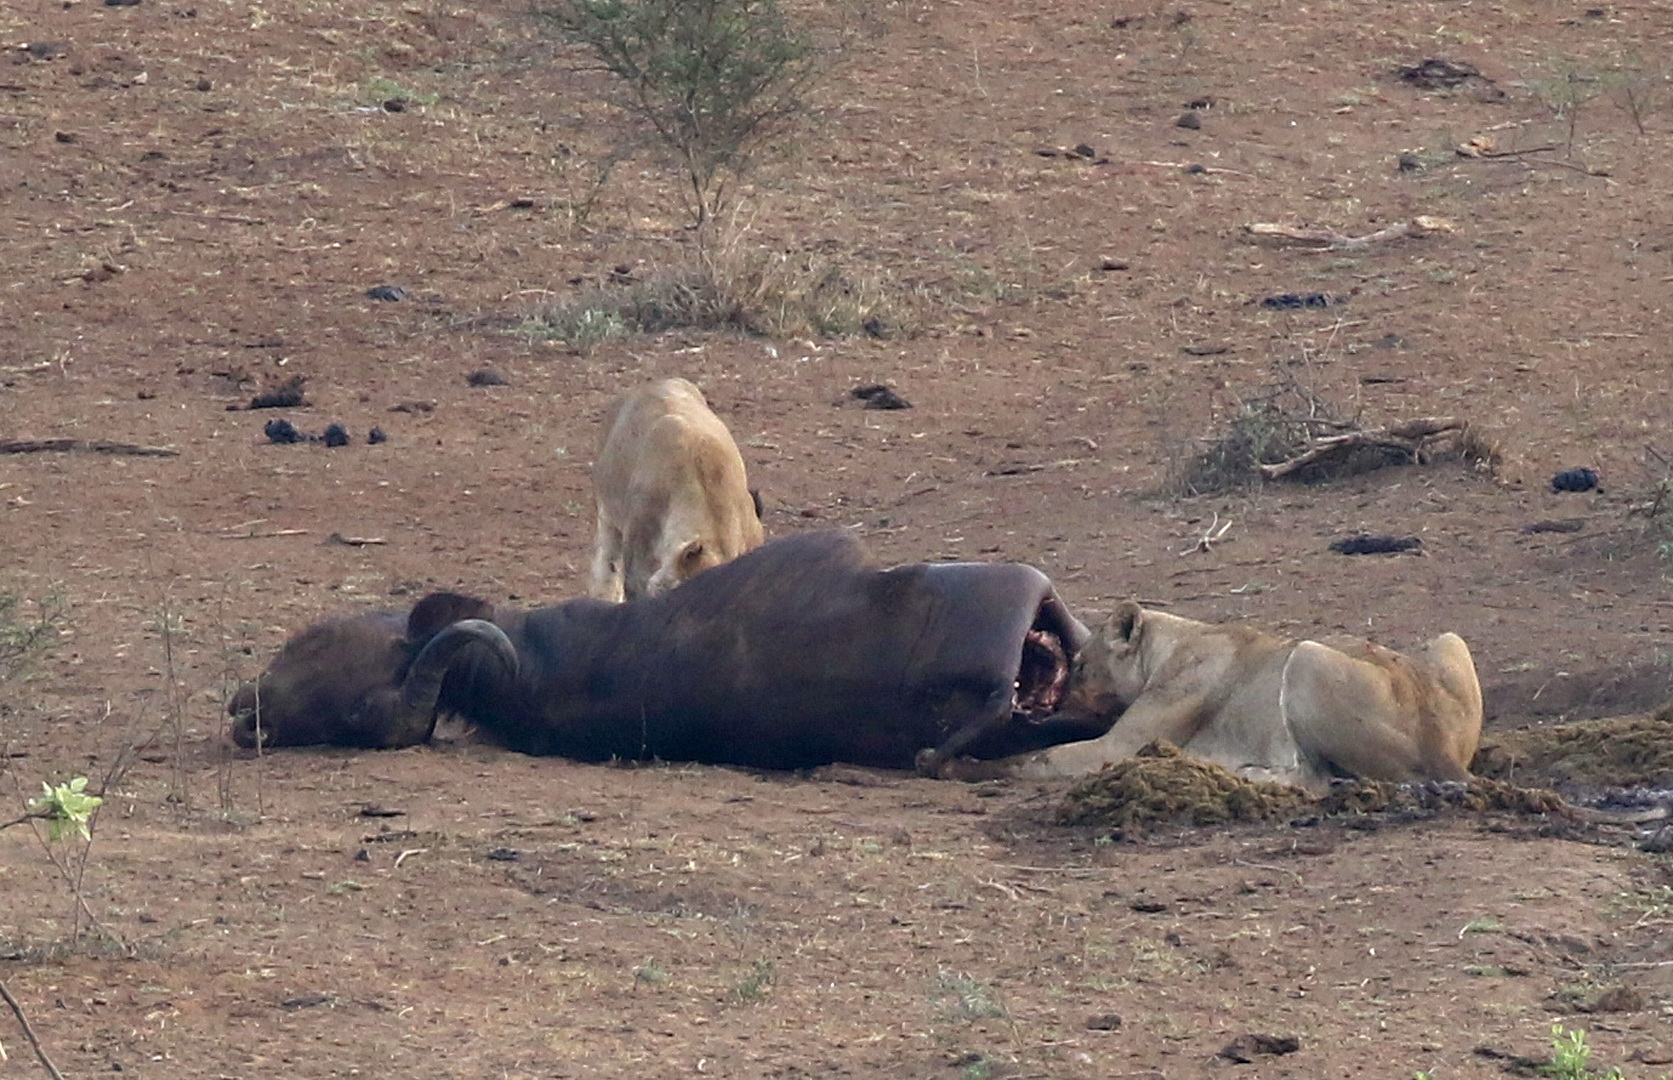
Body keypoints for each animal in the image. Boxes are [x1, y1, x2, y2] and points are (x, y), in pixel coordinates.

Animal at [924, 601, 1483, 792]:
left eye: (1081, 665)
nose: (1059, 700)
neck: (1177, 640)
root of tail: (1445, 750)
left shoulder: (1117, 747)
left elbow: (1031, 759)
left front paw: (947, 762)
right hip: (1450, 639)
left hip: (1305, 658)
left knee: (1318, 781)